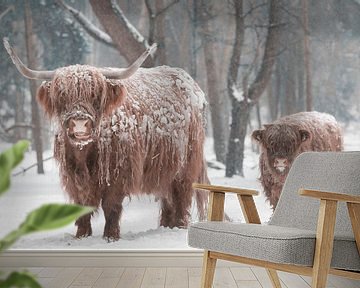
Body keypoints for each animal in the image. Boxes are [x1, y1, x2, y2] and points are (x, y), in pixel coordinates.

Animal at [4, 38, 208, 241]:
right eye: (62, 95)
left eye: (95, 95)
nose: (79, 123)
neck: (85, 153)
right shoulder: (74, 177)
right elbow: (81, 207)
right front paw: (81, 236)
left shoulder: (118, 173)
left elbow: (111, 206)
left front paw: (110, 237)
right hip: (164, 169)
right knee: (168, 200)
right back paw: (167, 226)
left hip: (186, 165)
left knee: (181, 197)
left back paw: (179, 227)